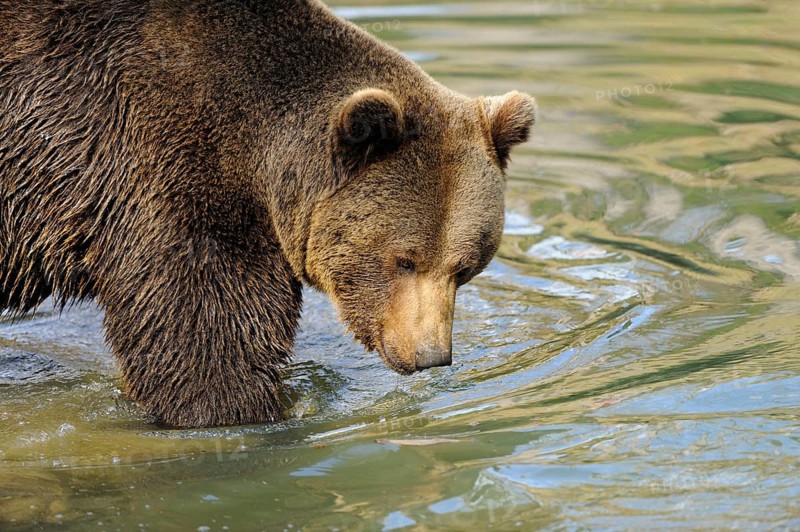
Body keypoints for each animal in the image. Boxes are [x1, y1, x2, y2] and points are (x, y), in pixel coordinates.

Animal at [0, 0, 536, 427]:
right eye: (404, 260)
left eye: (465, 268)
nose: (430, 357)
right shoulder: (155, 170)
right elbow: (203, 329)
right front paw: (231, 411)